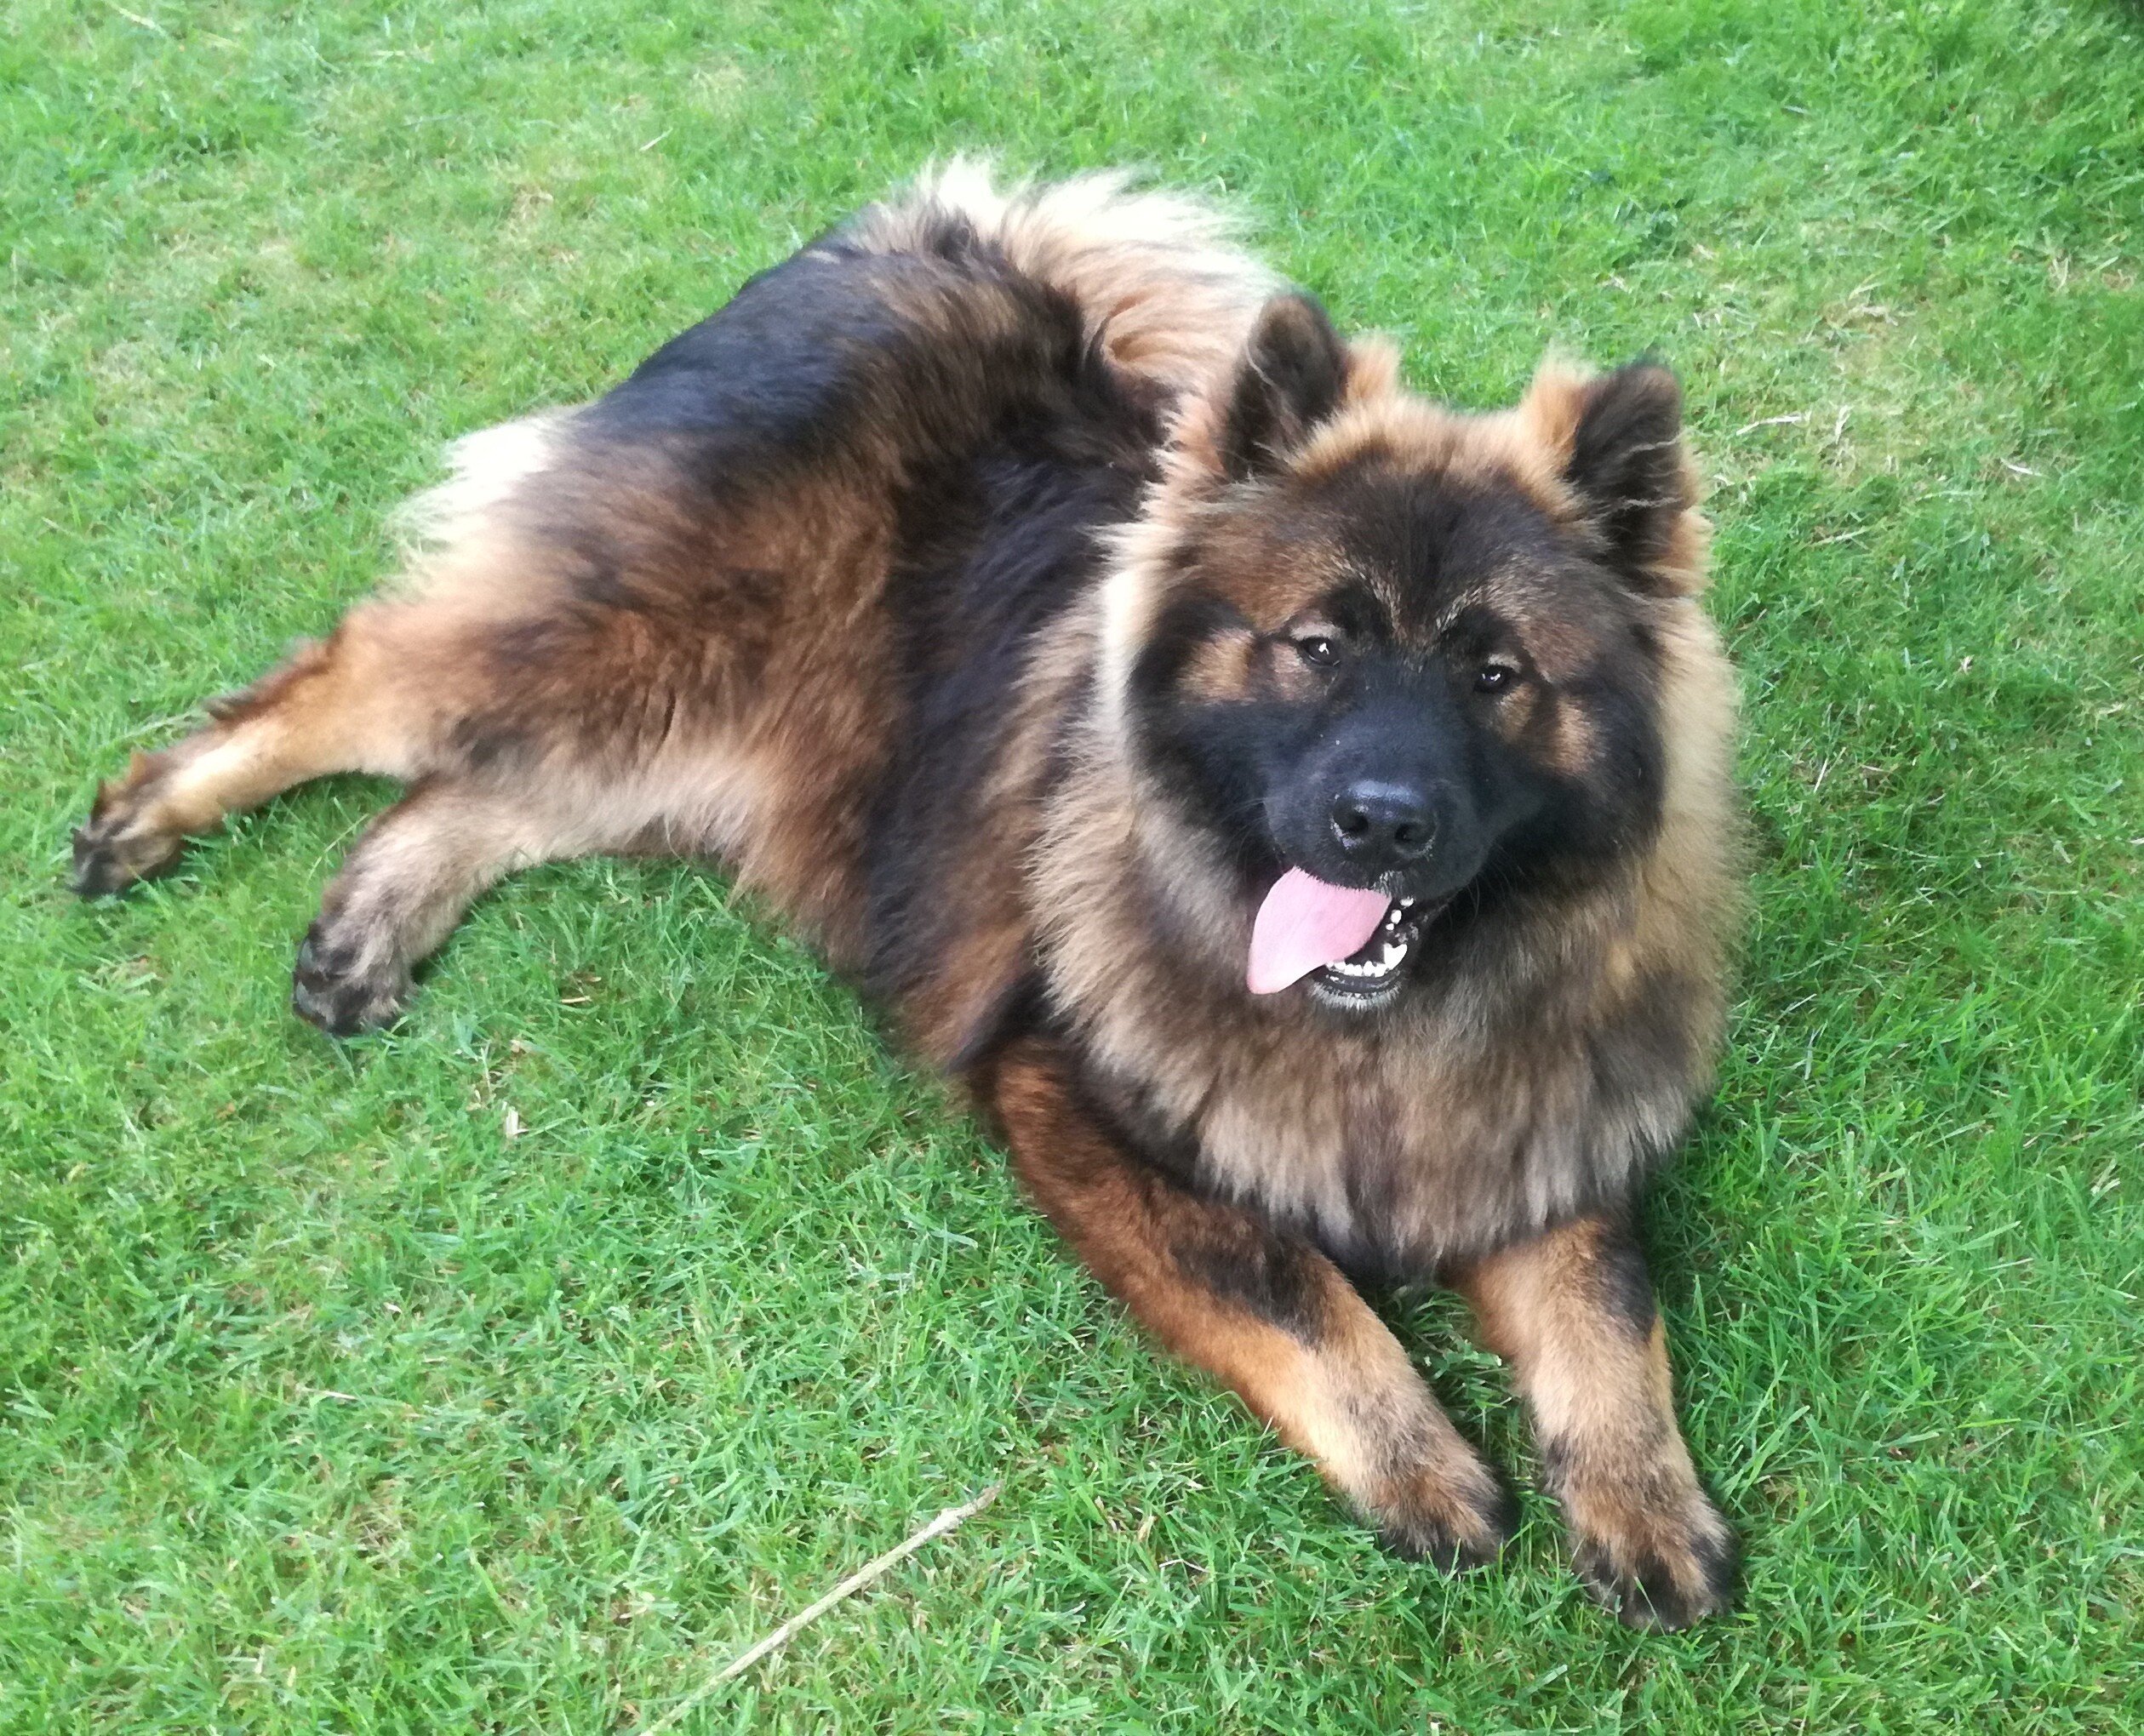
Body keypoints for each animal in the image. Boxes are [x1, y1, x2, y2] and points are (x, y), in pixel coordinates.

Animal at [74, 165, 1741, 1627]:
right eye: (1315, 647)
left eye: (1494, 676)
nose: (1378, 823)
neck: (1372, 1029)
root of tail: (939, 244)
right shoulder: (1054, 1085)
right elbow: (1279, 1277)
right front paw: (1420, 1467)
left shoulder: (1533, 1130)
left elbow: (1604, 1305)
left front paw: (1641, 1501)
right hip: (618, 649)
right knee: (358, 677)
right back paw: (149, 814)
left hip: (706, 739)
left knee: (481, 795)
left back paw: (364, 923)